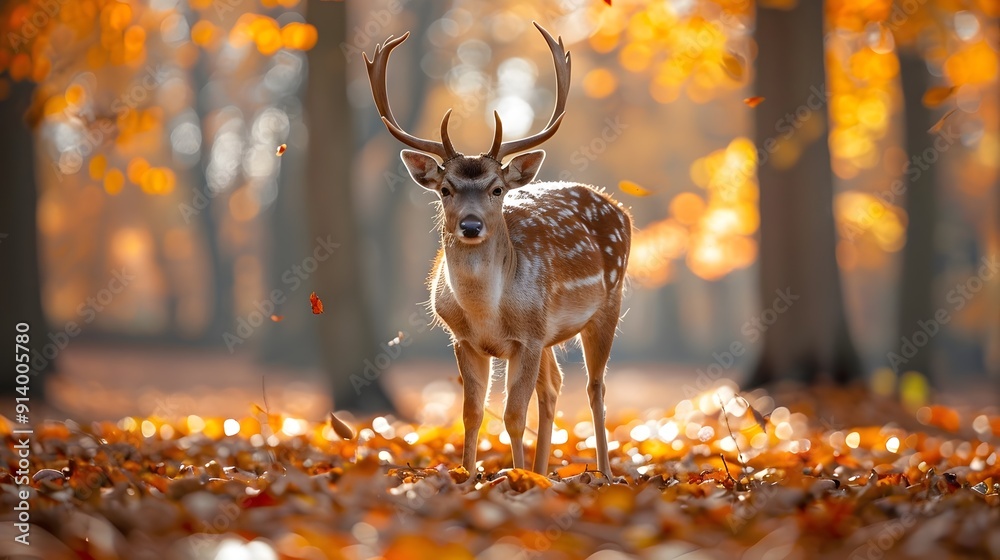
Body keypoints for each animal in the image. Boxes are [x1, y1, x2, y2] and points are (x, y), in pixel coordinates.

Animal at [366, 20, 632, 476]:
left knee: (595, 387)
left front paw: (516, 476)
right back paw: (544, 471)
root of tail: (622, 211)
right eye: (445, 189)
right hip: (551, 335)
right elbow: (472, 414)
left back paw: (604, 473)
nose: (471, 225)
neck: (486, 313)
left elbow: (512, 415)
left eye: (496, 189)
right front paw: (469, 476)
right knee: (554, 387)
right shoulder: (466, 340)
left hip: (607, 303)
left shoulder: (527, 337)